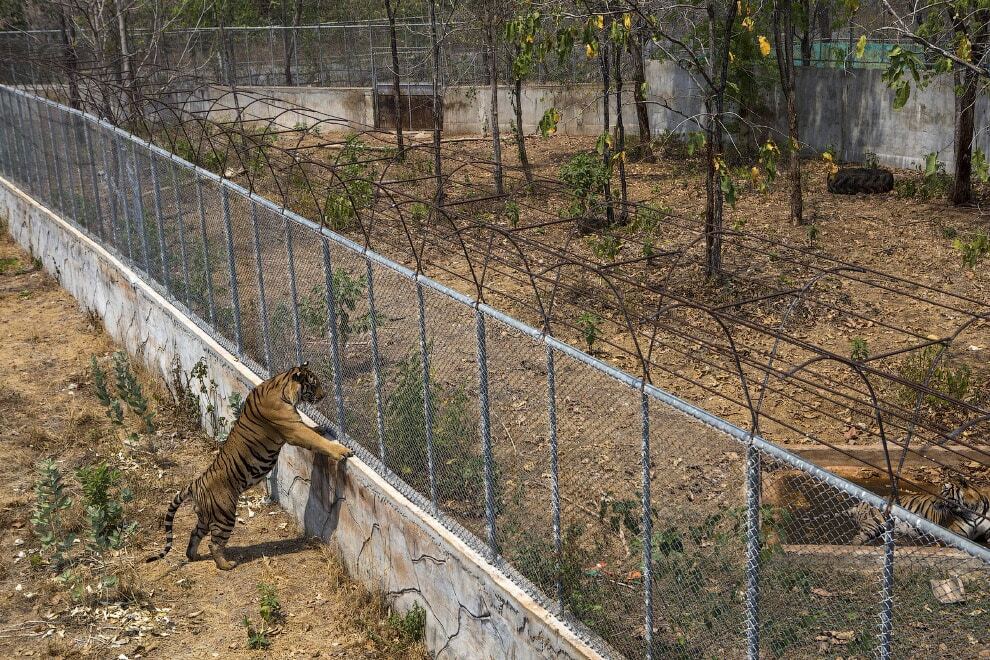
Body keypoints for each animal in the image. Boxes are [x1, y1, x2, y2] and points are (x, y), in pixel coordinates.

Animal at [145, 364, 350, 568]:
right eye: (314, 385)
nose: (323, 395)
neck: (281, 385)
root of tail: (196, 483)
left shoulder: (297, 425)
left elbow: (312, 432)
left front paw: (320, 428)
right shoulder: (293, 429)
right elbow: (317, 441)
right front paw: (342, 451)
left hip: (205, 515)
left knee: (195, 533)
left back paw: (193, 556)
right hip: (224, 515)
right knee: (214, 543)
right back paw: (226, 564)